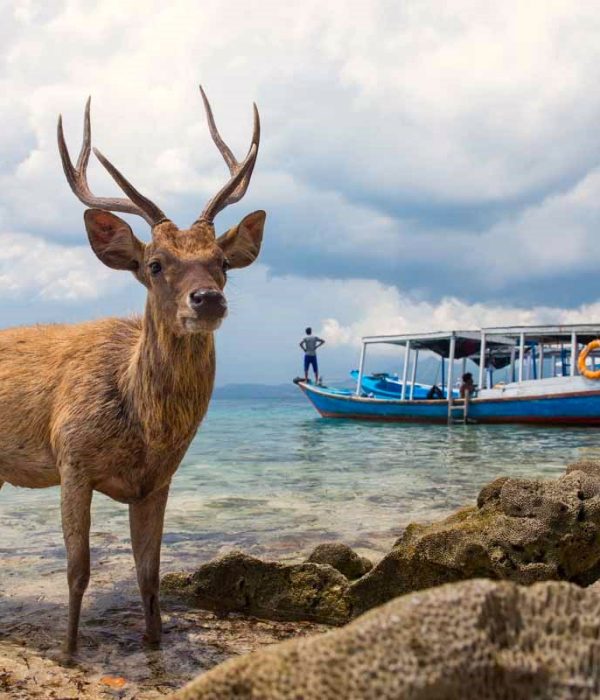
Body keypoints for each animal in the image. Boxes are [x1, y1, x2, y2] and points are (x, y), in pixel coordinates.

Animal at [0, 87, 264, 656]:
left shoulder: (158, 481)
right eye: (155, 264)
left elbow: (149, 575)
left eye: (222, 263)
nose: (207, 299)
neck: (143, 430)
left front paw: (154, 643)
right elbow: (78, 570)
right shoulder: (71, 457)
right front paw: (69, 651)